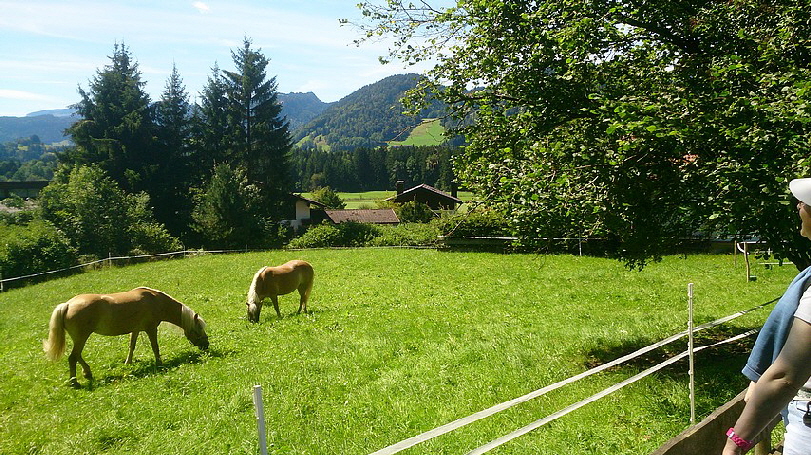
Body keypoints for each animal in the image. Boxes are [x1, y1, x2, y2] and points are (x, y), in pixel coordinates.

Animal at [43, 287, 208, 386]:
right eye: (198, 329)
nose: (206, 346)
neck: (156, 300)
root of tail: (67, 305)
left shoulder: (135, 330)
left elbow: (132, 346)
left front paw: (128, 362)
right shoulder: (151, 329)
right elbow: (155, 346)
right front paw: (159, 362)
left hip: (80, 338)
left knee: (77, 356)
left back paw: (87, 373)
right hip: (81, 337)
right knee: (73, 357)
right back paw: (74, 382)